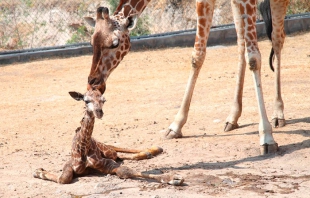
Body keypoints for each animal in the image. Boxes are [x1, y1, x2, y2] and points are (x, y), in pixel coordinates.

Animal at [33, 88, 184, 186]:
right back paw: (149, 152)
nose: (99, 112)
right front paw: (38, 171)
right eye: (86, 100)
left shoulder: (107, 164)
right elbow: (63, 179)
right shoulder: (70, 164)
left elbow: (125, 170)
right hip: (108, 152)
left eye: (103, 100)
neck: (83, 148)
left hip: (107, 150)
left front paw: (174, 177)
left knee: (116, 150)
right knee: (120, 155)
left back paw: (155, 149)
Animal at [84, 0, 288, 155]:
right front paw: (175, 126)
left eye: (115, 44)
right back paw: (233, 117)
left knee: (277, 38)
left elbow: (254, 58)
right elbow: (197, 55)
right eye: (91, 41)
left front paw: (267, 138)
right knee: (242, 42)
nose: (92, 80)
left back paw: (278, 114)